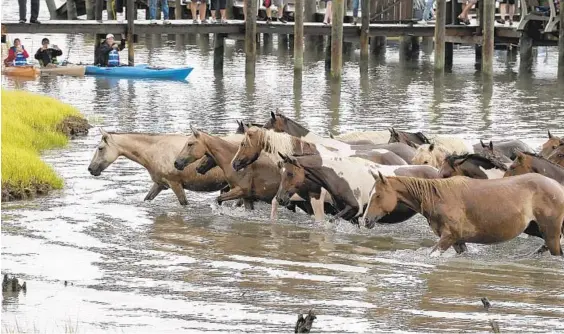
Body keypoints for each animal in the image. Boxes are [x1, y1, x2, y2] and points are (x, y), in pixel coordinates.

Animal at [87, 129, 241, 205]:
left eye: (100, 148)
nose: (90, 169)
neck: (152, 152)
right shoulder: (160, 184)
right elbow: (147, 198)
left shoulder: (175, 183)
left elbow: (184, 203)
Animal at [362, 172, 564, 256]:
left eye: (378, 195)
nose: (366, 220)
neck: (438, 198)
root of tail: (557, 186)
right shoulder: (458, 241)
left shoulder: (449, 237)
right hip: (536, 229)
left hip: (550, 232)